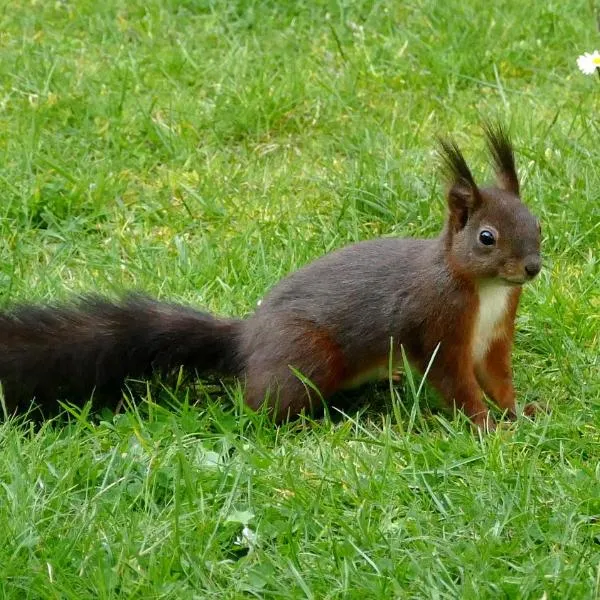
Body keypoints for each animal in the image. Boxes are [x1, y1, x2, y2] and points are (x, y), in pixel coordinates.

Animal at [0, 124, 540, 428]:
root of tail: (247, 339)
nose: (532, 267)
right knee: (258, 407)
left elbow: (497, 376)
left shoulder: (494, 335)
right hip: (307, 356)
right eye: (486, 237)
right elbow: (455, 382)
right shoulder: (436, 323)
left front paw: (521, 411)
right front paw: (488, 426)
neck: (486, 290)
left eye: (537, 224)